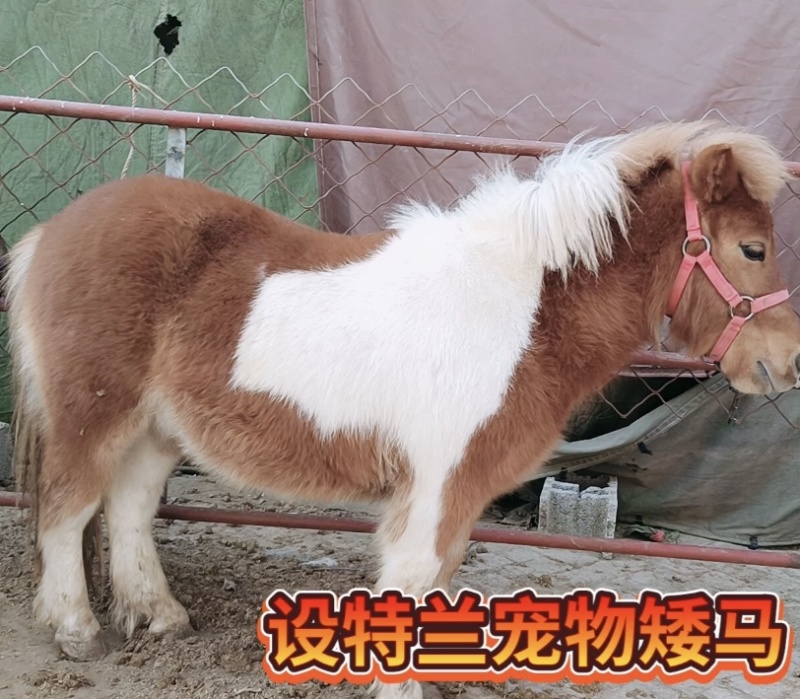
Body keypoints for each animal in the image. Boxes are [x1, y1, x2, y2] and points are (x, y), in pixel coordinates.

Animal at [6, 120, 800, 699]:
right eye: (752, 248)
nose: (787, 361)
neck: (517, 310)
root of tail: (54, 231)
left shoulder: (461, 495)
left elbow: (436, 585)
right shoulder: (437, 486)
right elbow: (415, 582)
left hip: (155, 428)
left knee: (129, 509)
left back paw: (161, 617)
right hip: (92, 416)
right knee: (68, 509)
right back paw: (77, 631)